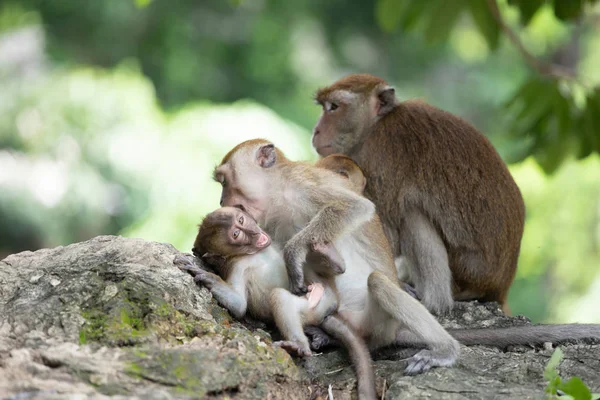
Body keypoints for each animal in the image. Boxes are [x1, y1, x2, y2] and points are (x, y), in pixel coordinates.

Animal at [173, 206, 378, 400]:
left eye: (241, 220)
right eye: (236, 235)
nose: (253, 232)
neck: (256, 252)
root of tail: (327, 311)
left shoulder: (275, 242)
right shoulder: (236, 266)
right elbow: (239, 305)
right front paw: (206, 275)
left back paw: (327, 257)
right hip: (312, 309)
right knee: (279, 297)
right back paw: (299, 345)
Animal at [312, 73, 528, 314]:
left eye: (334, 107)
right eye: (324, 106)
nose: (316, 130)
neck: (377, 124)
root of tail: (500, 287)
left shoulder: (380, 155)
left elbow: (389, 236)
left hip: (470, 273)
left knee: (412, 215)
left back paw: (433, 302)